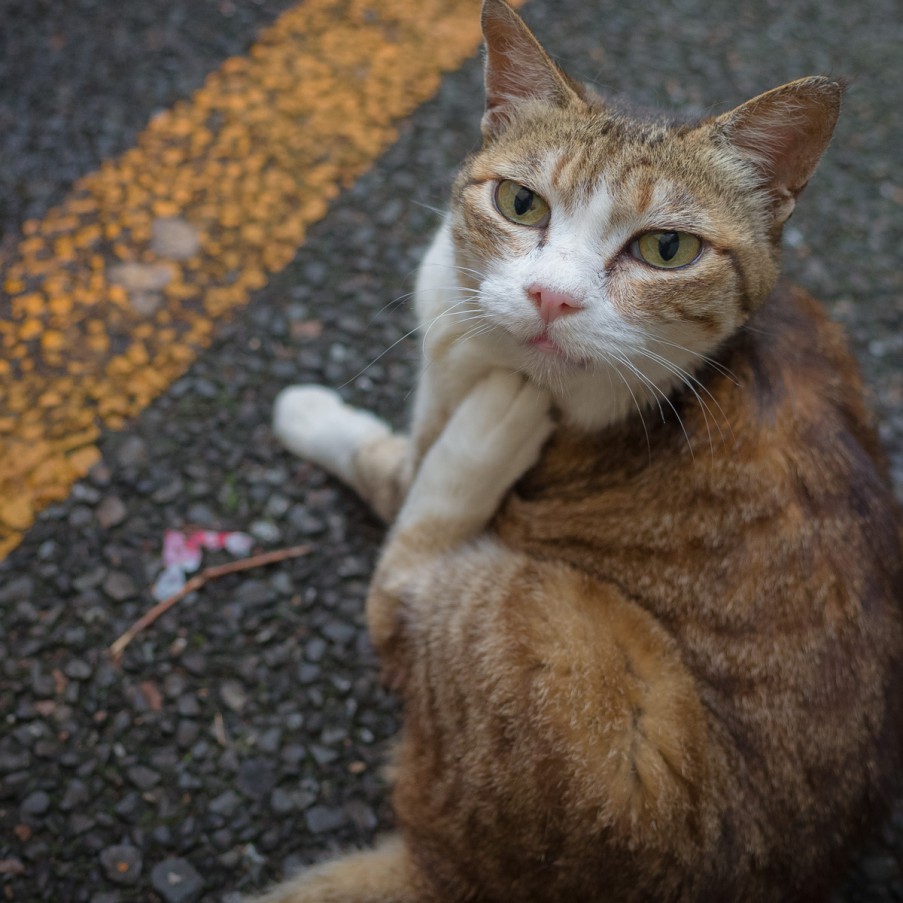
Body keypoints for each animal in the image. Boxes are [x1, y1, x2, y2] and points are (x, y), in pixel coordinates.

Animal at [258, 1, 900, 903]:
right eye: (521, 203)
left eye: (666, 250)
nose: (549, 297)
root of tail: (450, 869)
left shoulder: (435, 454)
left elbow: (389, 469)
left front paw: (310, 411)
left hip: (556, 645)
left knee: (396, 598)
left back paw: (487, 431)